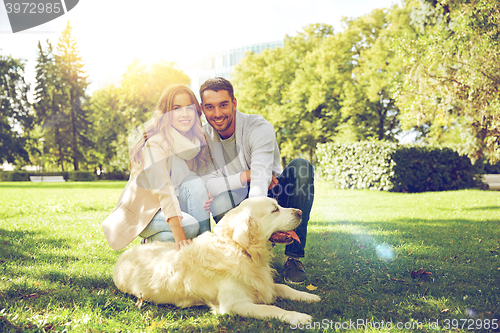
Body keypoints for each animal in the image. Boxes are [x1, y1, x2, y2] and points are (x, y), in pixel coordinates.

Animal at [113, 196, 320, 322]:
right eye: (275, 210)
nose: (300, 212)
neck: (238, 249)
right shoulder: (234, 305)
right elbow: (272, 309)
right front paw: (298, 316)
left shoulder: (261, 283)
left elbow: (283, 287)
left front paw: (308, 296)